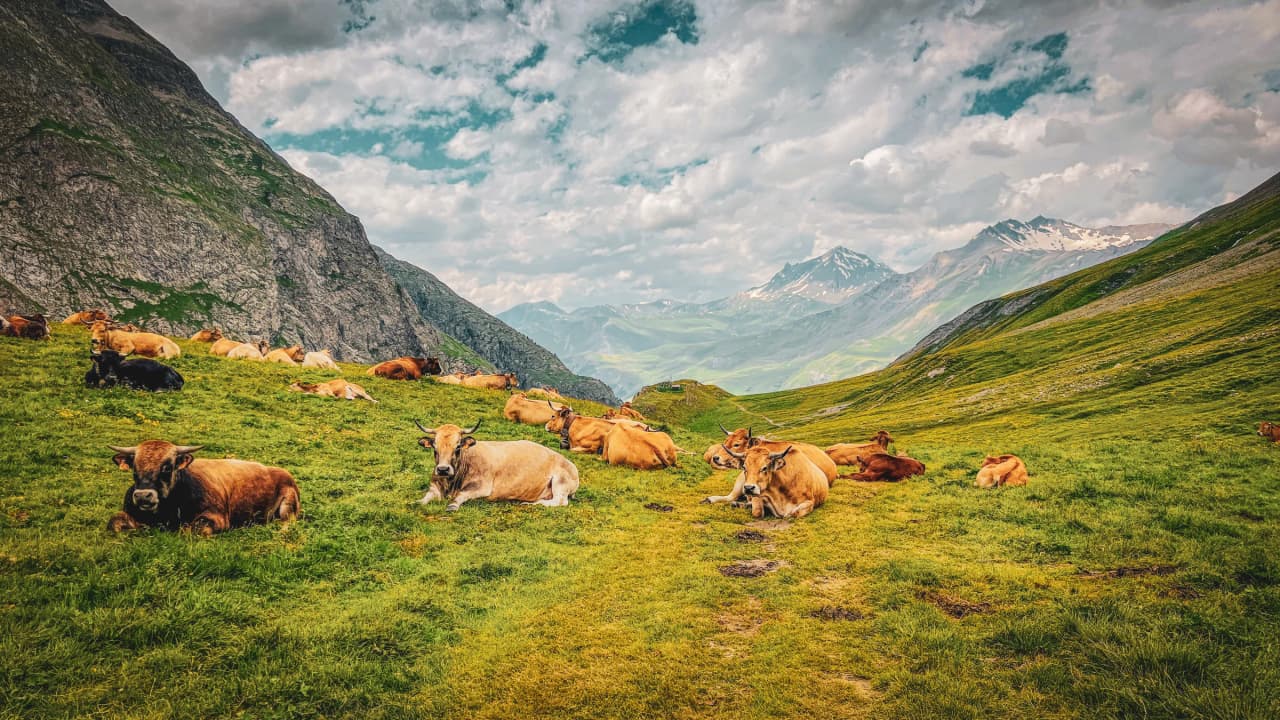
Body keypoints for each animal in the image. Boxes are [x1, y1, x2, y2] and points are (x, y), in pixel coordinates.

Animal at [105, 441, 300, 536]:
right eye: (134, 467)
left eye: (167, 467)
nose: (143, 496)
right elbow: (113, 523)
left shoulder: (217, 518)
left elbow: (192, 529)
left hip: (288, 506)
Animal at [414, 420, 579, 510]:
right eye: (435, 447)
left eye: (458, 447)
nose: (443, 469)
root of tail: (570, 464)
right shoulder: (434, 485)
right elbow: (426, 497)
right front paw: (417, 502)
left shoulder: (481, 487)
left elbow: (461, 495)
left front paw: (453, 505)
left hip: (561, 481)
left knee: (560, 501)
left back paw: (531, 503)